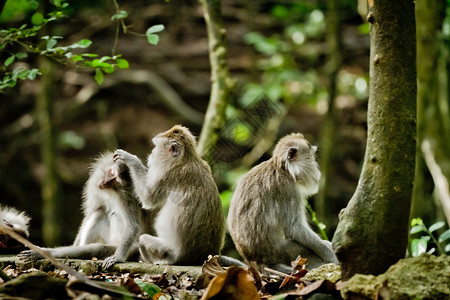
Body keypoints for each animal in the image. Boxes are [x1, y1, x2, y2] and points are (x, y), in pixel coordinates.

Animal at [229, 132, 338, 270]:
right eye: (312, 157)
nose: (317, 167)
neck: (283, 169)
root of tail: (254, 261)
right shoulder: (288, 190)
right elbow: (294, 228)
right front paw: (330, 253)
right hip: (284, 252)